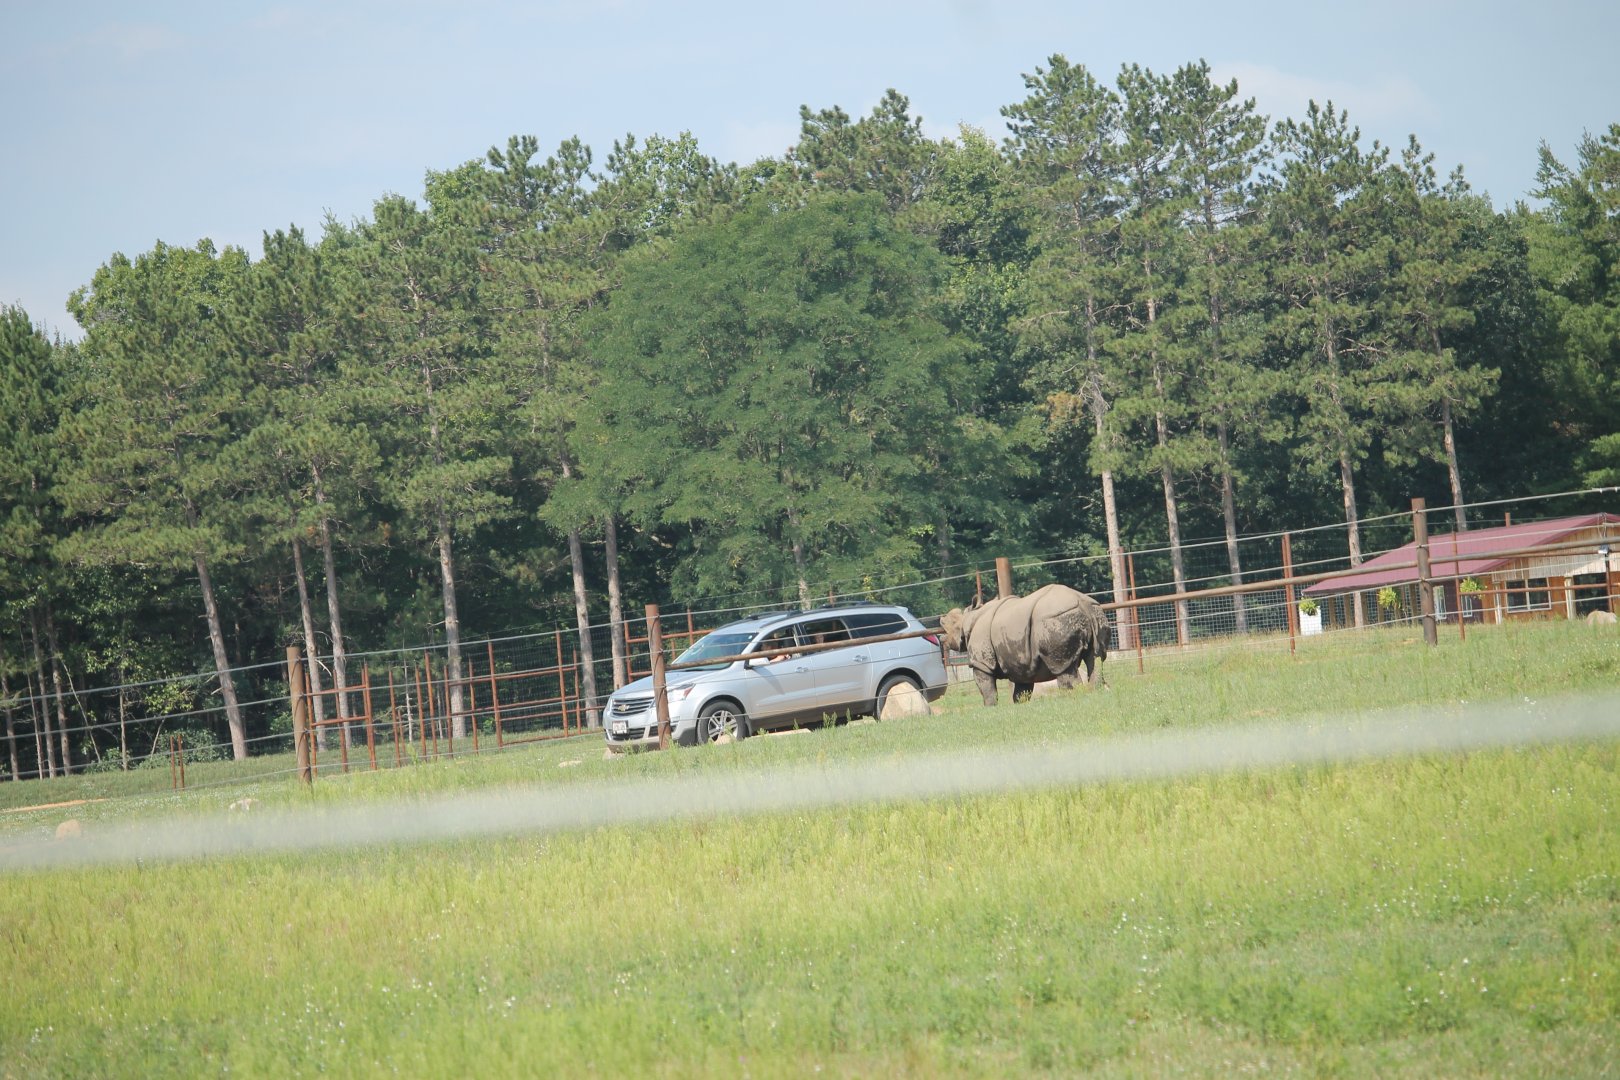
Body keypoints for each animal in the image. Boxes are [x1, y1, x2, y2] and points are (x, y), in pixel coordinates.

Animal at [940, 583, 1110, 706]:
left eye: (951, 624)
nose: (940, 620)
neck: (969, 618)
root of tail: (1083, 604)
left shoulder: (981, 662)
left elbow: (987, 689)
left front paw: (990, 707)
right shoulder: (1020, 662)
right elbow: (1022, 690)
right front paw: (1020, 705)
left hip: (1055, 620)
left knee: (1062, 667)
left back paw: (1073, 697)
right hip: (1095, 612)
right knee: (1095, 658)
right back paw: (1096, 693)